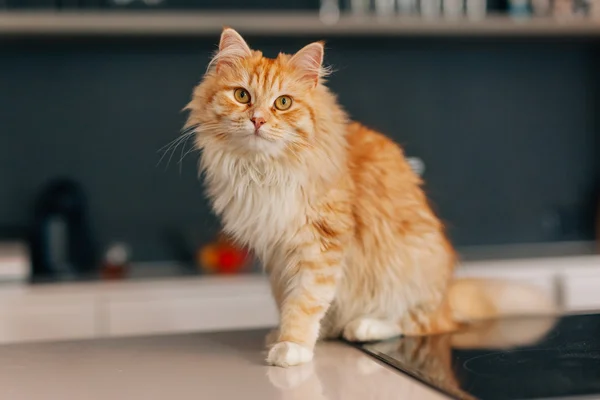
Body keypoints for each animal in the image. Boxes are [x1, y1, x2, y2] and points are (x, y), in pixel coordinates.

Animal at [185, 26, 556, 368]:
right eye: (242, 96)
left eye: (283, 103)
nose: (258, 120)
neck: (263, 170)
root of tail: (447, 296)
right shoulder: (277, 253)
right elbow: (287, 299)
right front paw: (286, 335)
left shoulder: (321, 245)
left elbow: (304, 301)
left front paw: (292, 346)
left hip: (412, 265)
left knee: (424, 323)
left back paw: (364, 326)